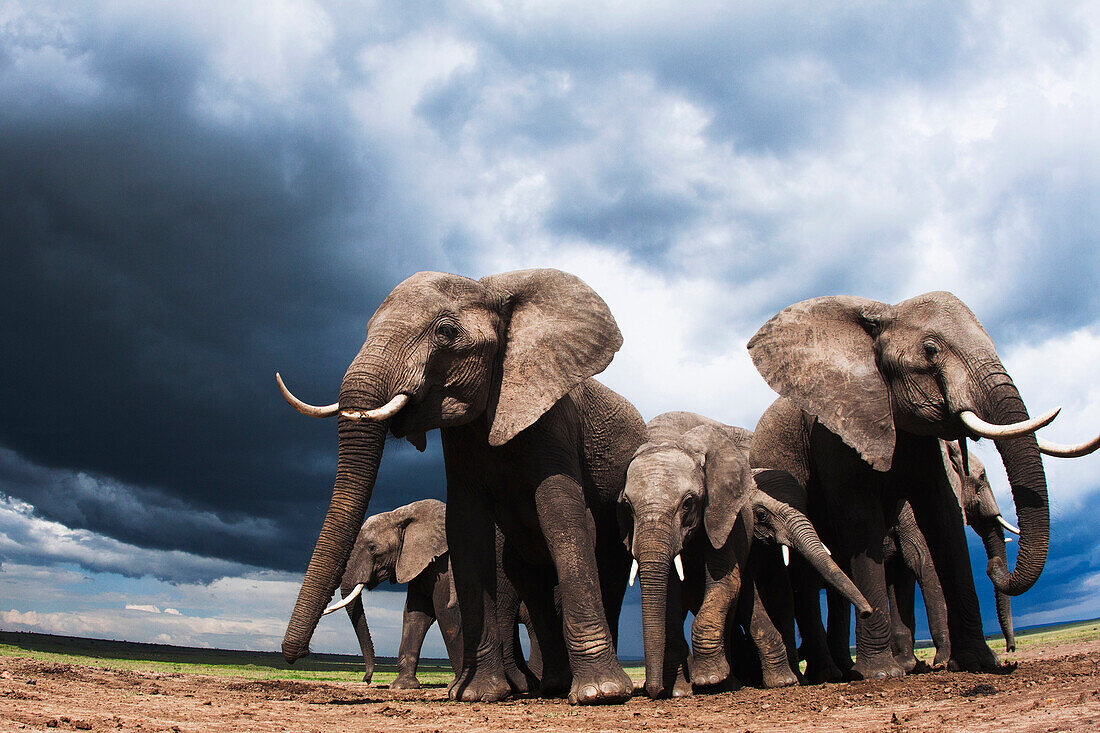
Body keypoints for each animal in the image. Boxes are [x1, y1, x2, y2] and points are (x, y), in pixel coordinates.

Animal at [325, 497, 464, 686]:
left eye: (372, 548)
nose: (367, 679)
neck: (401, 515)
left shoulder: (446, 565)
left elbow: (446, 612)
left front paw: (458, 684)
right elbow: (415, 614)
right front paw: (403, 685)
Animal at [620, 411, 866, 695]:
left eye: (688, 503)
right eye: (627, 507)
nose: (654, 691)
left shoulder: (728, 515)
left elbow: (725, 581)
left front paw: (710, 679)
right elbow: (670, 592)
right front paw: (683, 690)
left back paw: (736, 682)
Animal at [748, 292, 1100, 677]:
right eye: (931, 351)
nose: (993, 569)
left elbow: (943, 518)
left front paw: (977, 662)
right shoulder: (834, 433)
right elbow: (869, 524)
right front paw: (884, 674)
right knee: (807, 577)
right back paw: (831, 675)